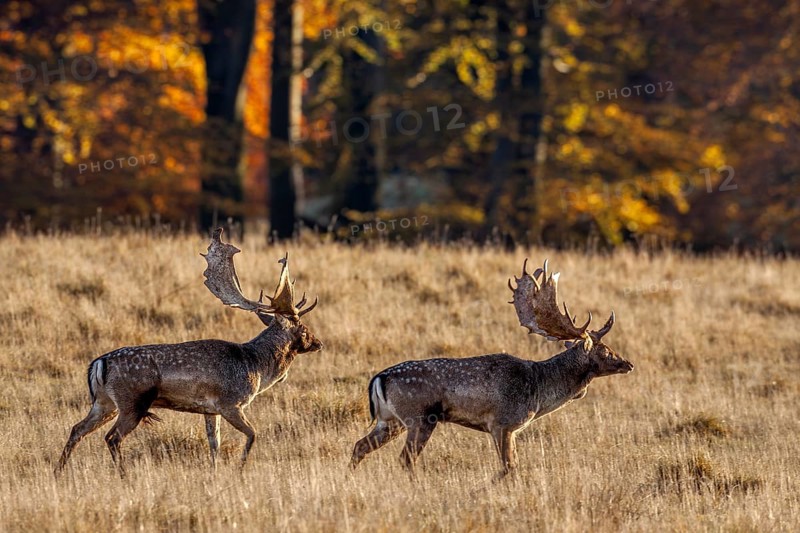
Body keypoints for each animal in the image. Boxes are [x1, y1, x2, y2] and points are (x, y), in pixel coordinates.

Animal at [55, 228, 322, 476]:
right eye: (303, 328)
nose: (319, 343)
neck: (256, 367)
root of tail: (98, 364)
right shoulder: (231, 403)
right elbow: (252, 435)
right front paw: (239, 469)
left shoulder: (210, 410)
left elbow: (214, 444)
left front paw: (215, 472)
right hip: (132, 401)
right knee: (112, 437)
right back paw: (124, 476)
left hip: (105, 402)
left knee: (77, 428)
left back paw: (59, 472)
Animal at [351, 259, 633, 475]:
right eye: (605, 349)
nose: (628, 363)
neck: (539, 390)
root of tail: (379, 378)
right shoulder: (503, 423)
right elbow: (509, 467)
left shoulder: (509, 429)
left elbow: (512, 465)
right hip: (419, 417)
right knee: (405, 459)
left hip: (390, 420)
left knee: (359, 446)